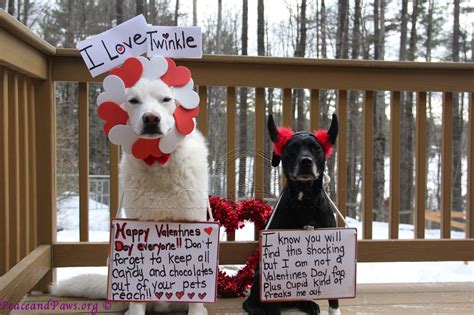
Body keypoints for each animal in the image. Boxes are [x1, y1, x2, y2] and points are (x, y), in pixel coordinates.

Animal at [49, 63, 209, 314]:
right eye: (134, 101)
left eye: (166, 99)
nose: (151, 118)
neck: (157, 162)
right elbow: (137, 298)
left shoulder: (195, 223)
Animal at [243, 114, 338, 315]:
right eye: (291, 149)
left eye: (316, 148)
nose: (306, 161)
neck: (305, 202)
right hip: (259, 276)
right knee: (251, 301)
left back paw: (308, 304)